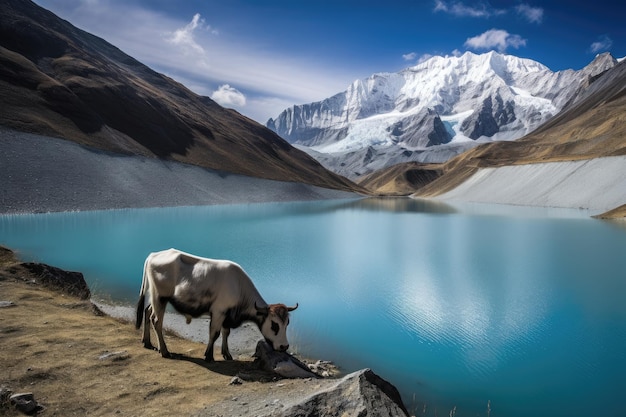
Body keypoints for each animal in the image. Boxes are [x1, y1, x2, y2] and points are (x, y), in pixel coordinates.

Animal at [133, 247, 298, 360]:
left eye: (287, 324)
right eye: (274, 325)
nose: (284, 346)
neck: (239, 286)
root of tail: (153, 255)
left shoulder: (227, 314)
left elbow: (226, 332)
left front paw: (227, 354)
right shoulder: (219, 311)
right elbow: (215, 333)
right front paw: (209, 356)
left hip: (155, 298)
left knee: (147, 311)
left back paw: (146, 342)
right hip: (160, 297)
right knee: (156, 321)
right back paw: (165, 351)